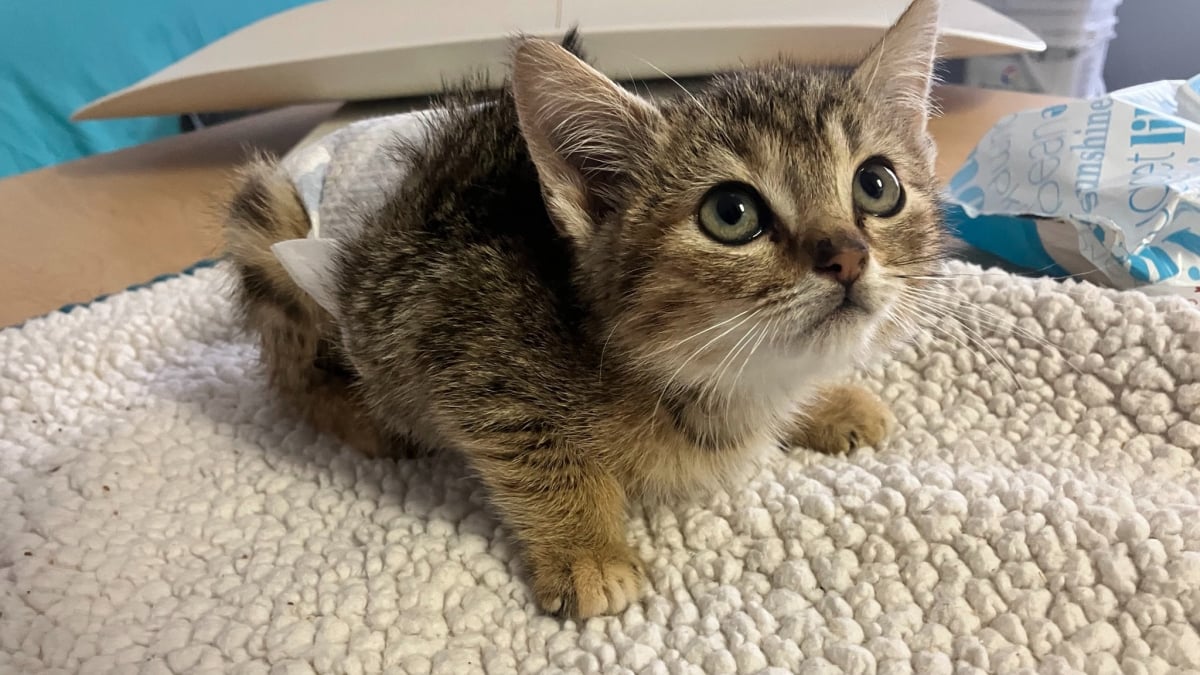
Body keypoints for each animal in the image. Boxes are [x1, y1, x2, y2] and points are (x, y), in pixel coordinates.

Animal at [223, 0, 945, 614]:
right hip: (271, 225)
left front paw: (830, 403)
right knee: (290, 375)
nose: (848, 256)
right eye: (731, 213)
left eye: (877, 185)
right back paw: (364, 417)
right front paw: (587, 551)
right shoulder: (455, 327)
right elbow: (536, 449)